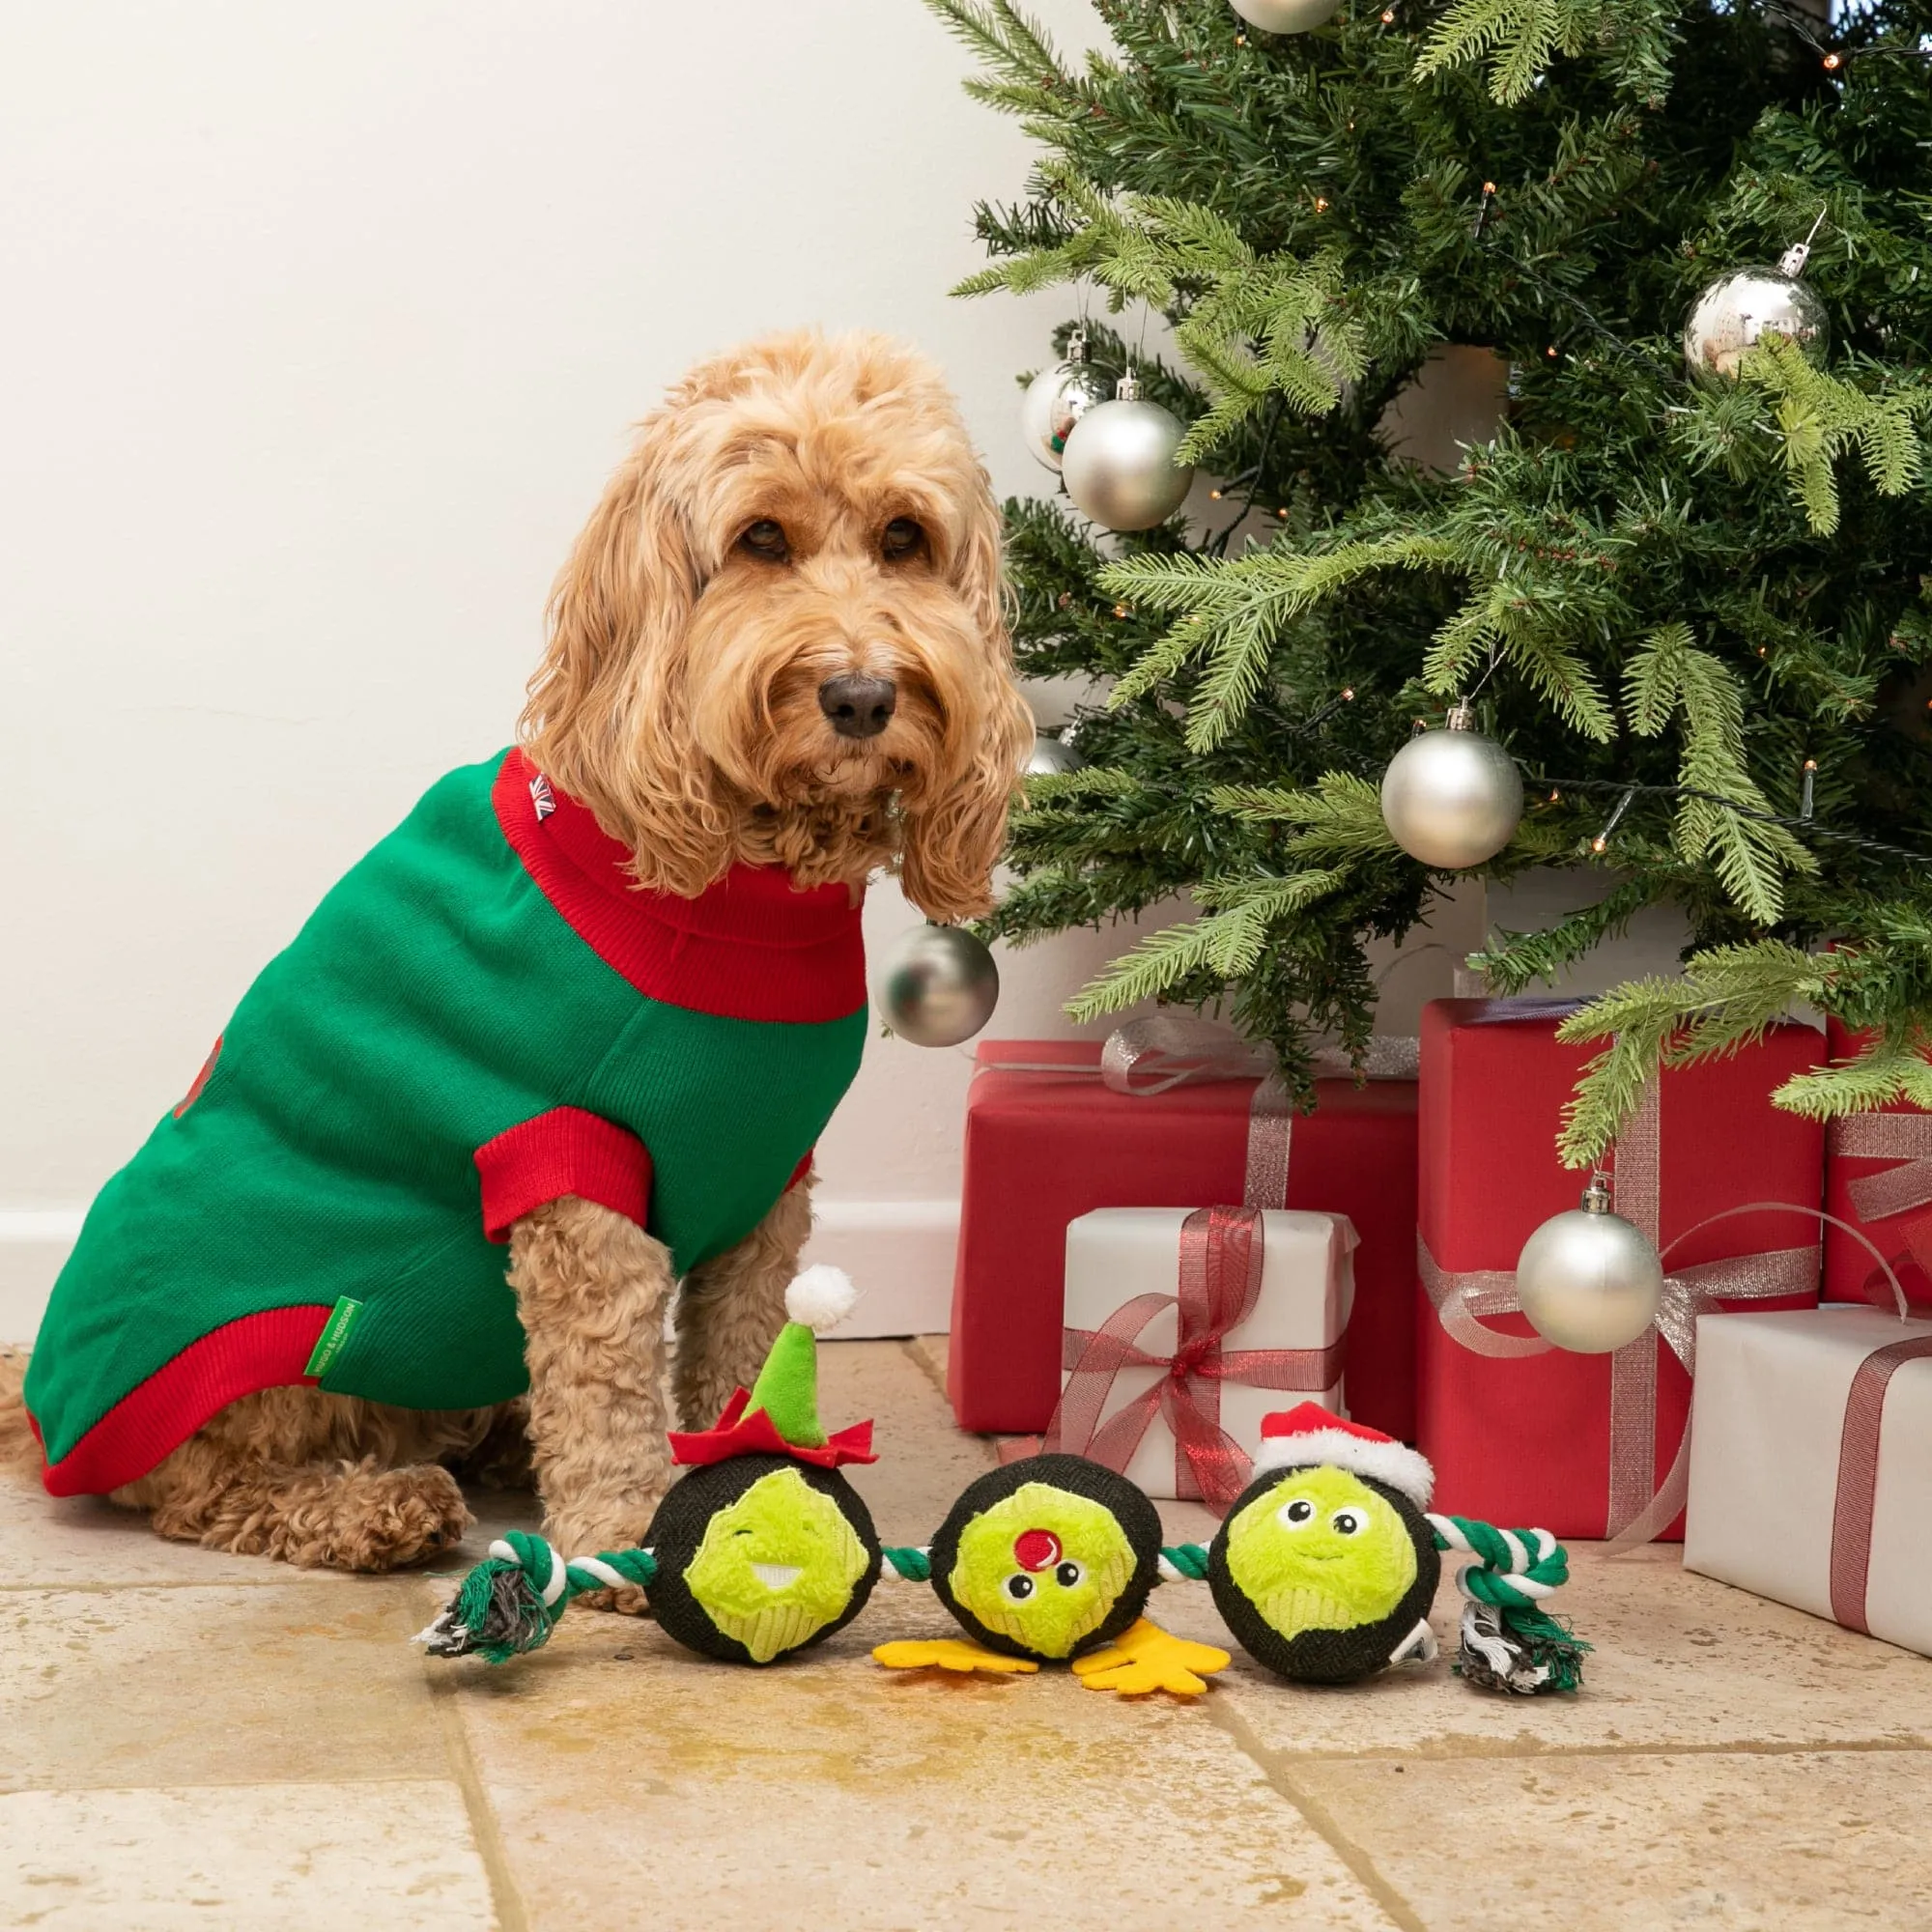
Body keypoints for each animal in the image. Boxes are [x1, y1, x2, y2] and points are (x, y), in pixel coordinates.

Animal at [3, 332, 1043, 1584]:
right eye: (759, 539)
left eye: (903, 537)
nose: (858, 693)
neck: (735, 883)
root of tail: (44, 1412)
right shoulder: (566, 1164)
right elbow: (603, 1375)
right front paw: (623, 1534)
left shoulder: (768, 1182)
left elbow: (743, 1349)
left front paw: (754, 1493)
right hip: (254, 1357)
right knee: (205, 1490)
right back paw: (376, 1505)